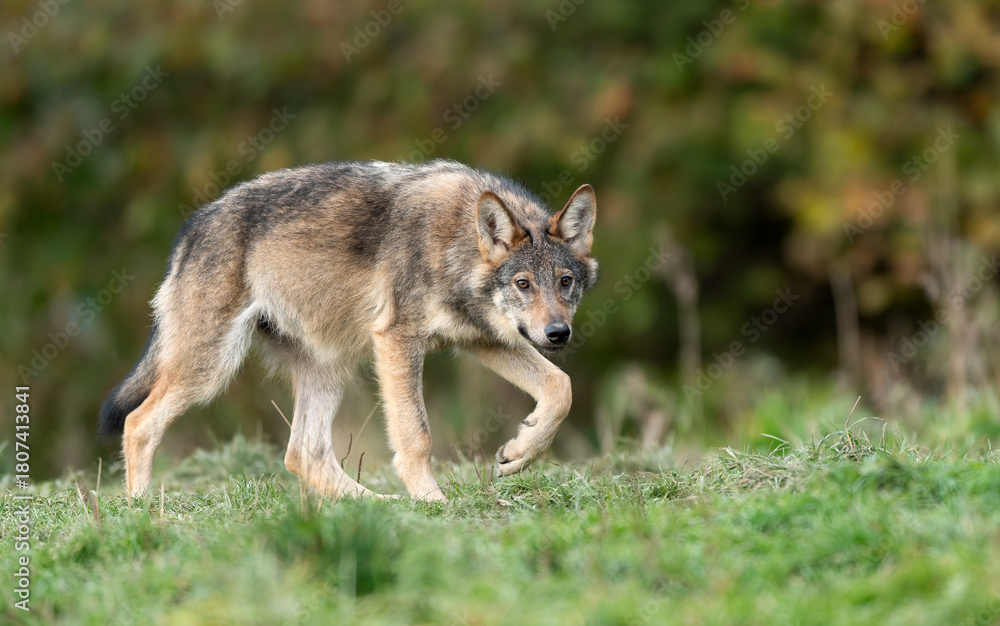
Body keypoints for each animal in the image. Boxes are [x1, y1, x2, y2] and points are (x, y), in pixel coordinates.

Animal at [99, 160, 598, 502]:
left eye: (565, 282)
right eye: (523, 284)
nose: (558, 333)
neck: (456, 242)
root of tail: (190, 228)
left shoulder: (484, 341)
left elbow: (562, 387)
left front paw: (521, 451)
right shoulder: (397, 340)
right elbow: (417, 434)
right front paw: (433, 501)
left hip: (329, 366)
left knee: (304, 453)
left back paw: (379, 505)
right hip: (211, 370)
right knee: (138, 422)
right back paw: (142, 508)